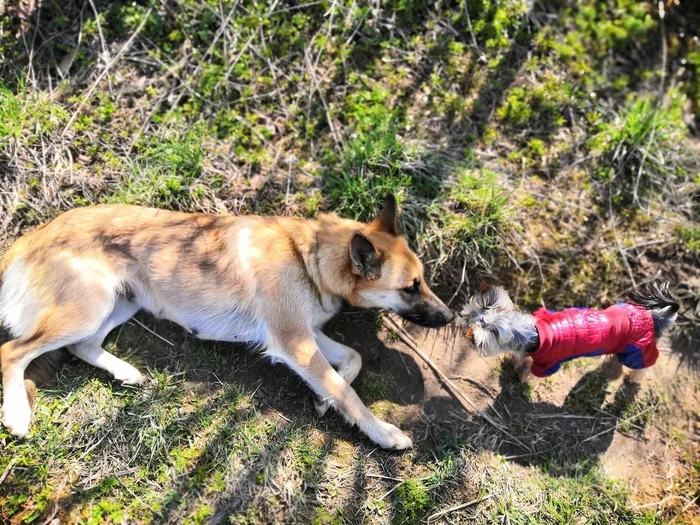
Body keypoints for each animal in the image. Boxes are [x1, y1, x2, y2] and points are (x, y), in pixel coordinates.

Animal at [0, 194, 454, 448]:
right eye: (411, 287)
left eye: (424, 280)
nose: (451, 317)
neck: (308, 255)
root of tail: (34, 233)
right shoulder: (296, 343)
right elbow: (349, 393)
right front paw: (383, 432)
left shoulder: (305, 335)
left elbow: (352, 361)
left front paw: (325, 400)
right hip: (87, 309)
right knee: (13, 351)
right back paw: (18, 414)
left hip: (121, 304)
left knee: (83, 346)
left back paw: (126, 372)